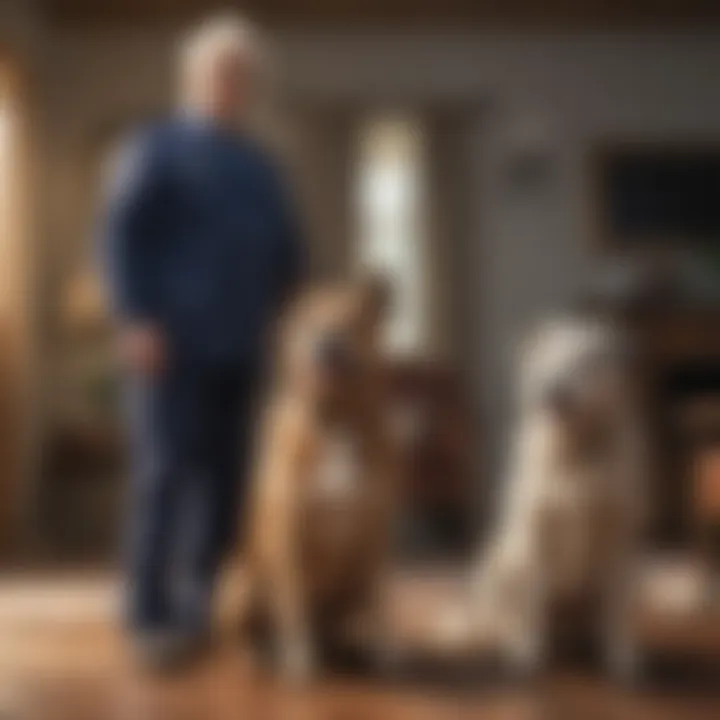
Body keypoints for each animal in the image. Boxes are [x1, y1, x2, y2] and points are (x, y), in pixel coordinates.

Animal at [235, 278, 396, 680]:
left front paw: (384, 653)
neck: (336, 419)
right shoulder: (288, 534)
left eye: (352, 317)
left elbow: (380, 605)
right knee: (246, 633)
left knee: (343, 624)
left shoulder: (376, 535)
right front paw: (300, 661)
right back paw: (258, 657)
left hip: (350, 588)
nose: (328, 343)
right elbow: (293, 606)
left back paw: (349, 650)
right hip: (240, 584)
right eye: (306, 320)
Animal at [470, 316, 648, 680]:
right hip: (503, 560)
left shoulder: (618, 537)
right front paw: (528, 654)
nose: (553, 391)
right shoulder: (537, 533)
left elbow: (616, 610)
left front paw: (623, 659)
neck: (575, 453)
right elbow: (532, 603)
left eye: (588, 360)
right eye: (547, 359)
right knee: (507, 614)